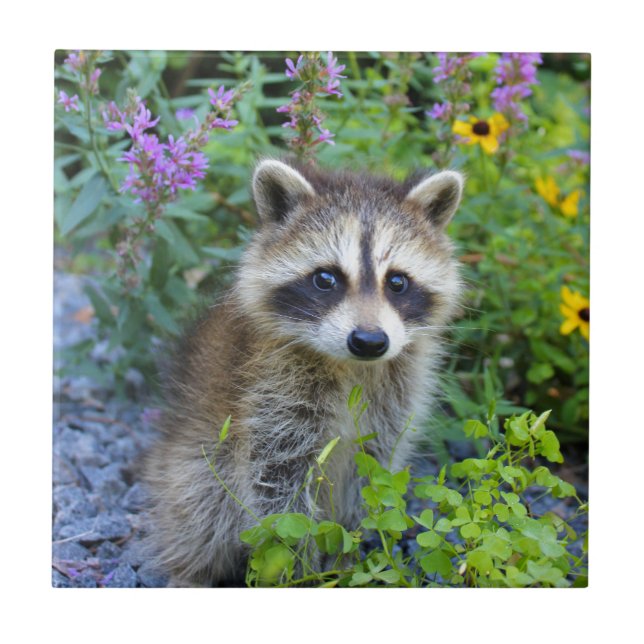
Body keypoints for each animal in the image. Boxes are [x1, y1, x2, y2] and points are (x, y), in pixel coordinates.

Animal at [143, 159, 464, 586]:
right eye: (326, 279)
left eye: (397, 281)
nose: (369, 341)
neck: (353, 367)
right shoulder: (271, 390)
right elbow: (278, 486)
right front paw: (301, 568)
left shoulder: (395, 393)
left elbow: (372, 471)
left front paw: (354, 547)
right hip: (189, 462)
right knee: (199, 508)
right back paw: (192, 571)